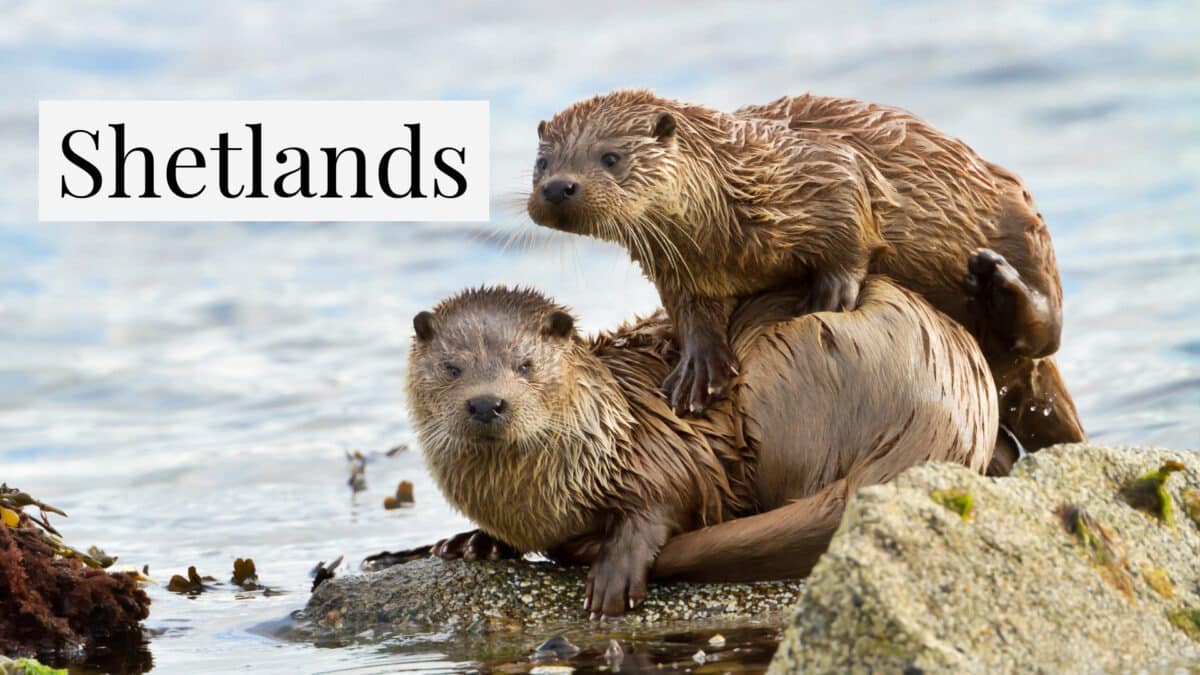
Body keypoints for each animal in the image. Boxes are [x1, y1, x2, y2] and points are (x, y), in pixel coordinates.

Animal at [407, 278, 996, 617]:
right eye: (452, 367)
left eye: (525, 365)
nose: (487, 403)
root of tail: (942, 417)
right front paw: (473, 541)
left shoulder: (671, 443)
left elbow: (665, 499)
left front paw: (616, 572)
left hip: (792, 367)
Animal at [526, 90, 1083, 468]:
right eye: (542, 163)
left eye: (611, 157)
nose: (557, 187)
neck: (729, 206)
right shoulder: (682, 270)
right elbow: (693, 315)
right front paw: (698, 371)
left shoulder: (826, 169)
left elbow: (853, 226)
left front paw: (829, 295)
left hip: (1026, 227)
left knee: (1046, 331)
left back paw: (996, 280)